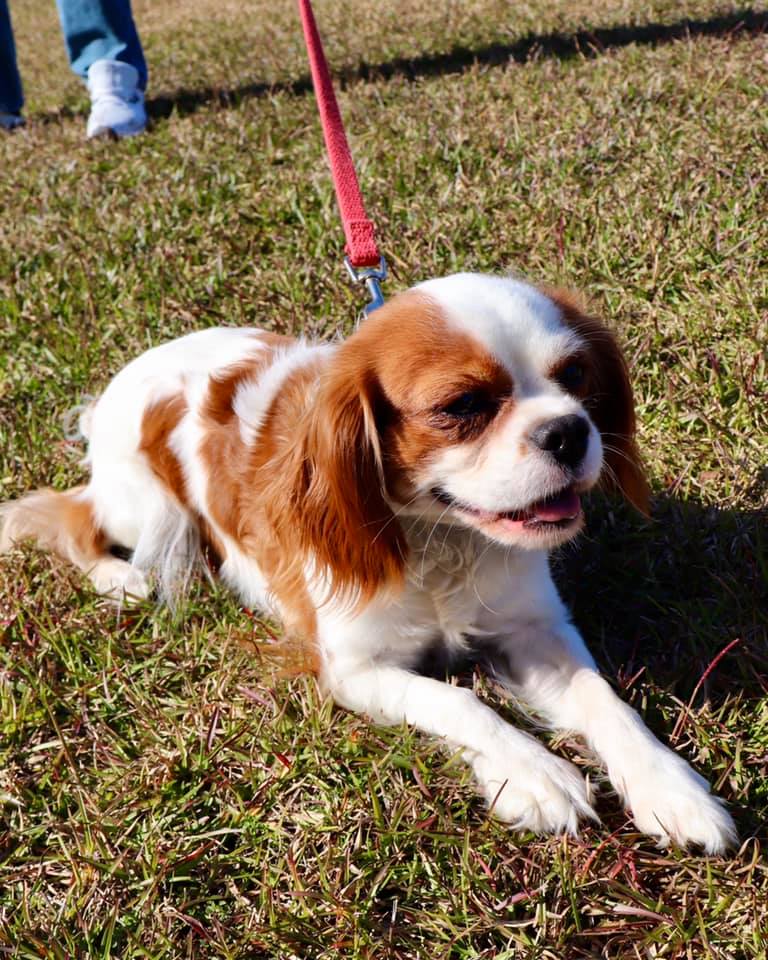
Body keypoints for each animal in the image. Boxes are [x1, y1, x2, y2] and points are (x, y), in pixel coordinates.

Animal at [0, 273, 736, 852]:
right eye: (462, 406)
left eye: (575, 377)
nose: (569, 430)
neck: (441, 537)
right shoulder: (354, 670)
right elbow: (460, 702)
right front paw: (535, 773)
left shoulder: (535, 630)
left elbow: (603, 699)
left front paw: (670, 787)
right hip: (144, 503)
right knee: (73, 514)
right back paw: (120, 577)